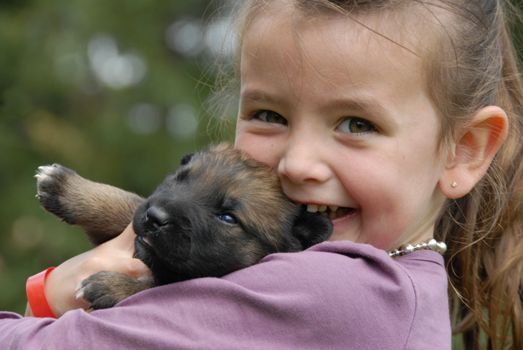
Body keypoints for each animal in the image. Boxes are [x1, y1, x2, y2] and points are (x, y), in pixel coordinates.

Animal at [35, 144, 332, 308]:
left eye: (228, 218)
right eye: (179, 179)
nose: (155, 218)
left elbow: (159, 285)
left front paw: (113, 286)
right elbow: (129, 203)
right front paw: (66, 188)